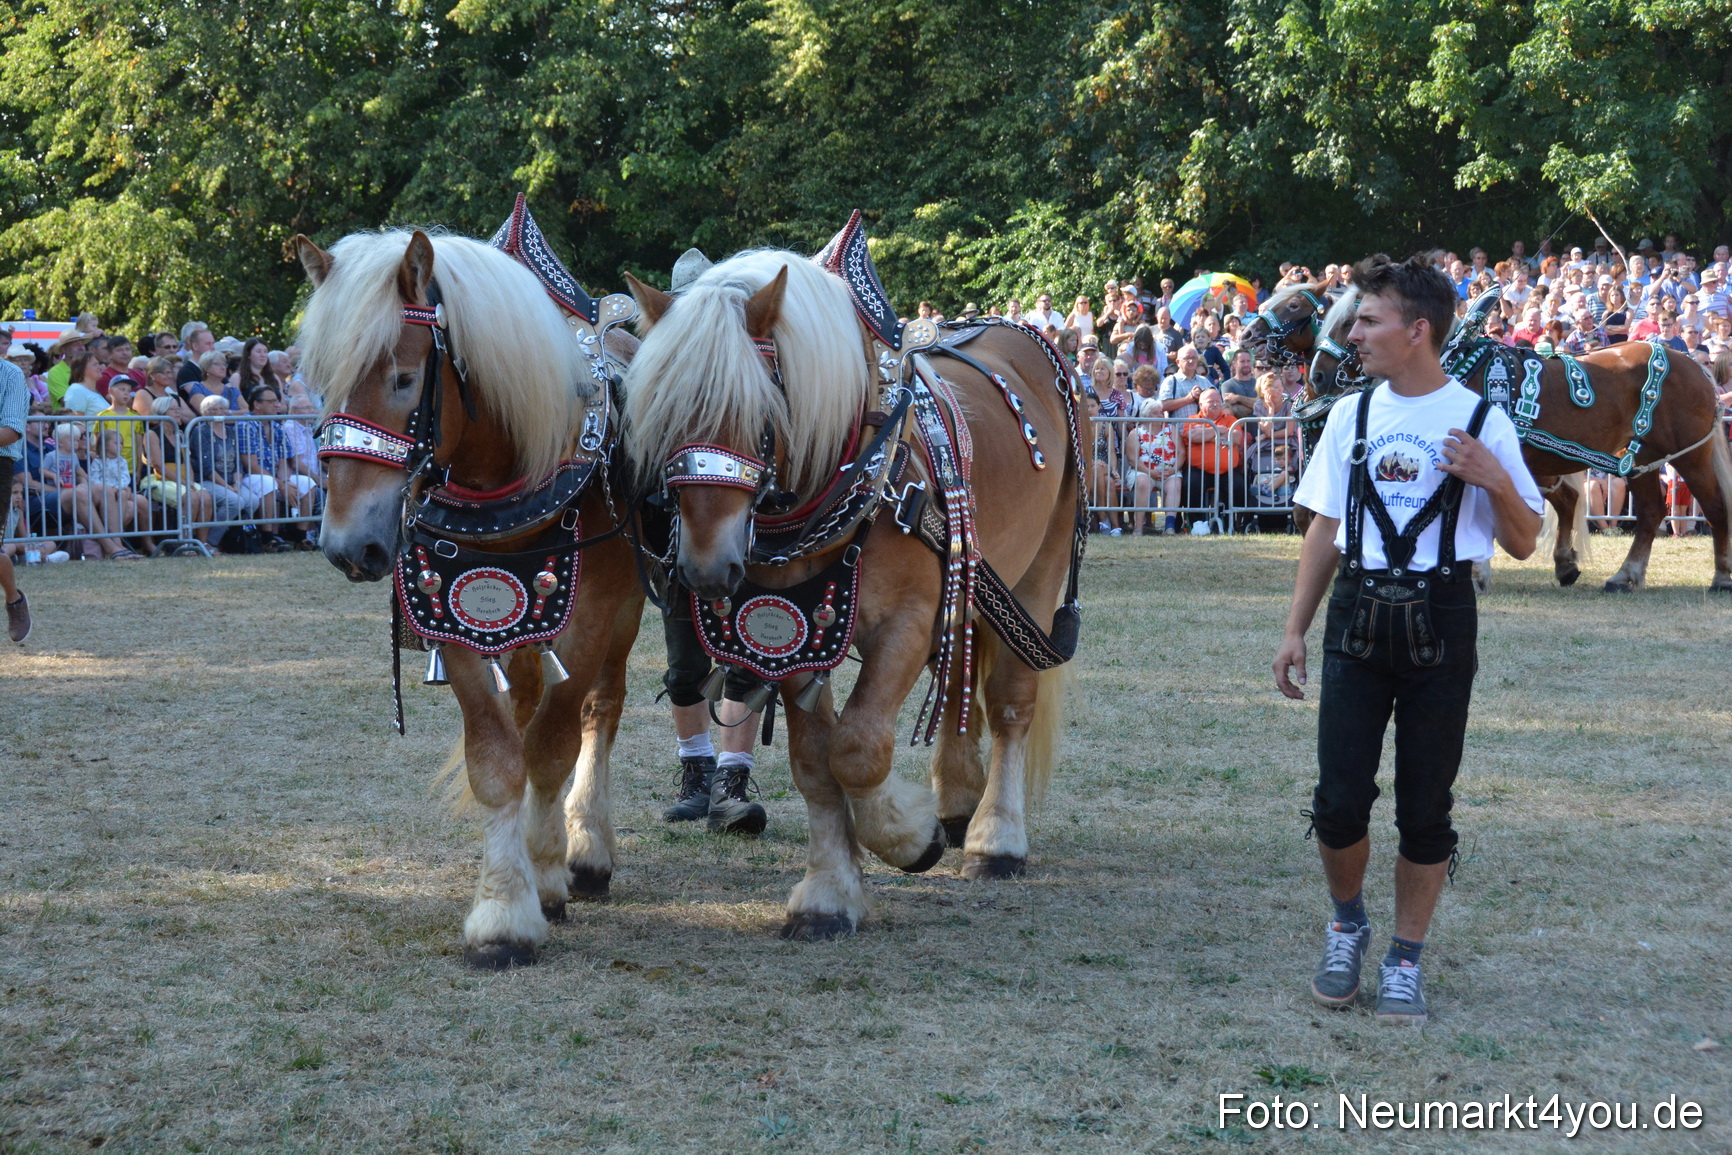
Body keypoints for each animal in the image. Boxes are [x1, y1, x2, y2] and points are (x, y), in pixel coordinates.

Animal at [293, 224, 645, 969]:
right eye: (320, 381)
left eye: (402, 377)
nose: (346, 546)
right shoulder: (454, 620)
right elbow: (497, 759)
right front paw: (504, 906)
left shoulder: (591, 617)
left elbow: (551, 748)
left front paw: (542, 877)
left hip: (622, 614)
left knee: (599, 711)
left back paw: (586, 849)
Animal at [619, 236, 1081, 940]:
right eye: (659, 418)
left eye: (760, 412)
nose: (703, 570)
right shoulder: (792, 633)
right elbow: (815, 764)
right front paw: (831, 892)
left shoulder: (906, 622)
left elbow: (859, 749)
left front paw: (906, 839)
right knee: (959, 678)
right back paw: (957, 799)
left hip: (1038, 572)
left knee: (1008, 702)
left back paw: (995, 838)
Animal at [1247, 283, 1732, 593]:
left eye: (1295, 306)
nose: (1318, 375)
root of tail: (1695, 365)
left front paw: (1475, 572)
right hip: (1637, 459)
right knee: (1646, 512)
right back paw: (1620, 575)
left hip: (1687, 455)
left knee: (1712, 507)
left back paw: (1720, 577)